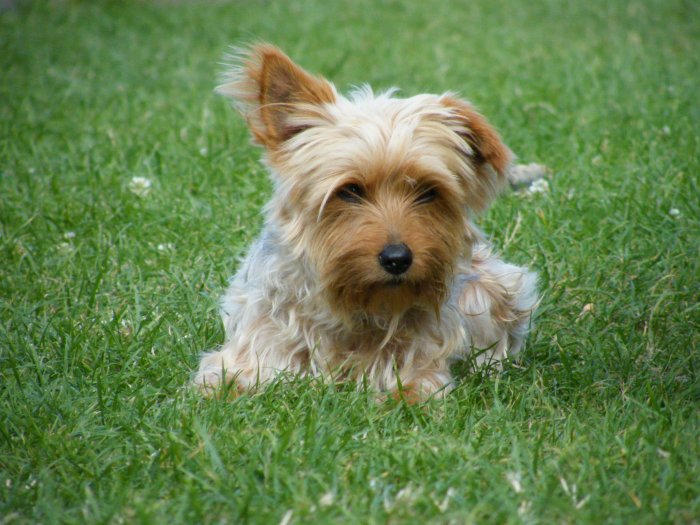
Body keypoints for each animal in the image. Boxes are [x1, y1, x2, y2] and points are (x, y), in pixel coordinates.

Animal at [194, 43, 540, 400]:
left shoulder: (425, 357)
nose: (397, 259)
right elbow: (227, 380)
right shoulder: (257, 343)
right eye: (350, 190)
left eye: (428, 192)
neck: (359, 305)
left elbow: (417, 384)